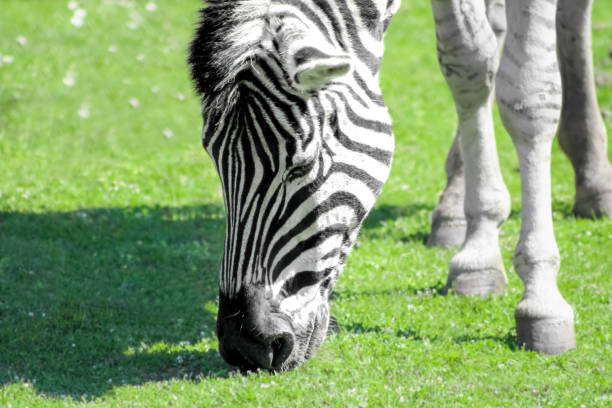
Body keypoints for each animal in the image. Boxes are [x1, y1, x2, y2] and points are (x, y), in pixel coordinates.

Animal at [188, 0, 596, 370]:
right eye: (217, 165)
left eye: (301, 165)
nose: (244, 345)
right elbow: (467, 63)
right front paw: (479, 252)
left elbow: (530, 94)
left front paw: (541, 298)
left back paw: (592, 176)